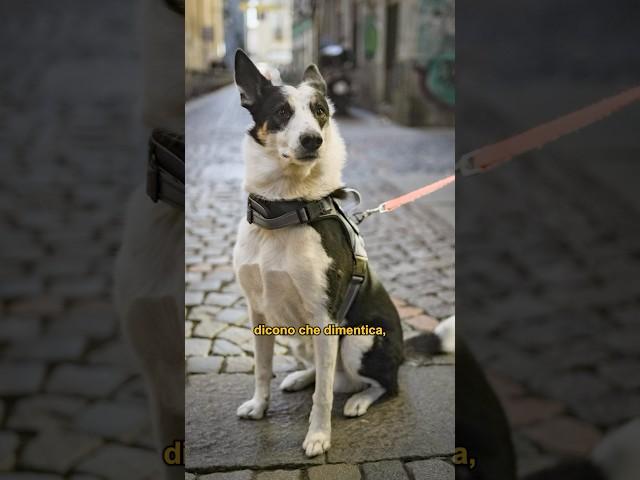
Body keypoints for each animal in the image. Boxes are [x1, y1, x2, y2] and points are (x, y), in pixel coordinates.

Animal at [231, 49, 404, 458]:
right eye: (281, 112)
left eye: (321, 111)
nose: (314, 140)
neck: (284, 210)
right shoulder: (258, 312)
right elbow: (261, 370)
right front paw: (260, 406)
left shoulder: (327, 320)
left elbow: (322, 397)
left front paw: (318, 437)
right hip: (302, 338)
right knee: (331, 376)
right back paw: (300, 377)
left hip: (358, 338)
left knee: (381, 385)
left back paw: (358, 400)